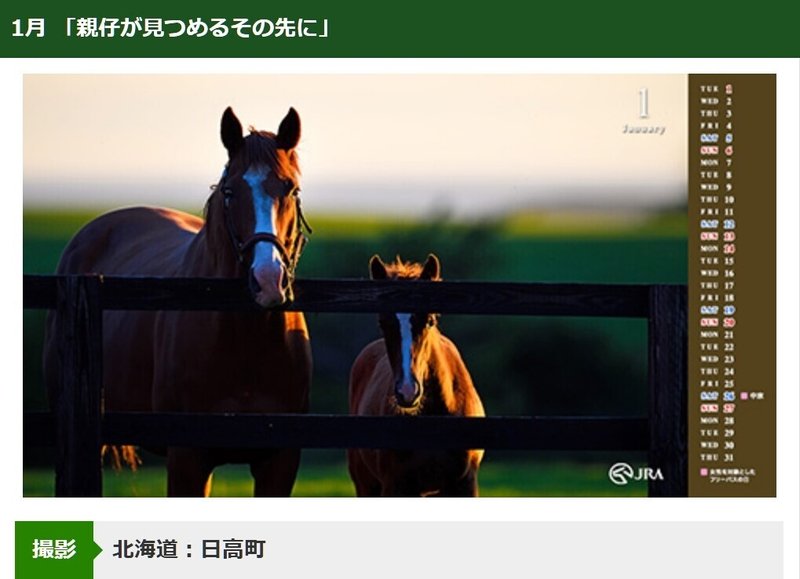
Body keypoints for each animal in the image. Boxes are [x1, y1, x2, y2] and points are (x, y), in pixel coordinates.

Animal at [347, 254, 485, 497]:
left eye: (429, 320)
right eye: (382, 323)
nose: (407, 391)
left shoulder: (465, 484)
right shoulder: (395, 486)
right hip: (366, 484)